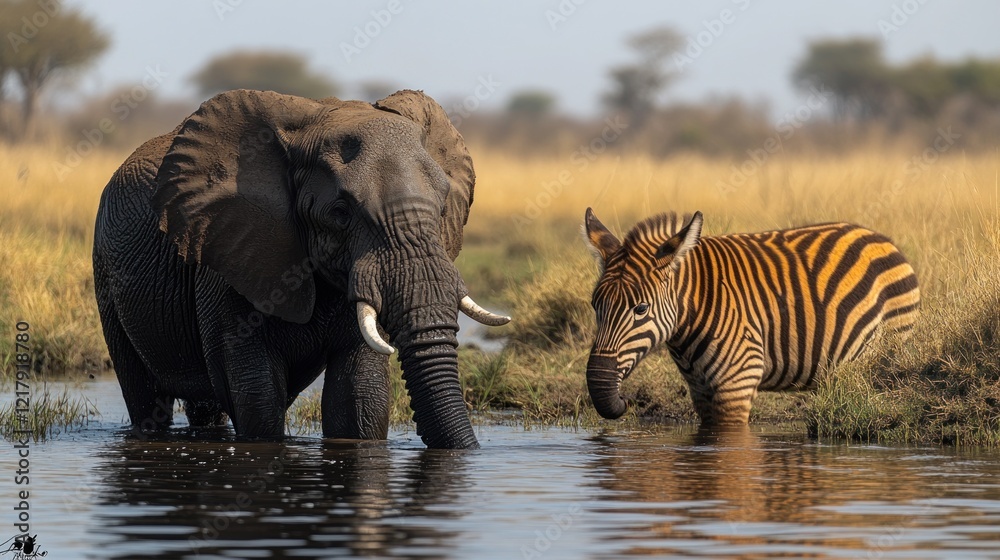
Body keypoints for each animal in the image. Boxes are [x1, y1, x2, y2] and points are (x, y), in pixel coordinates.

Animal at [92, 88, 509, 449]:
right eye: (340, 213)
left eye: (443, 207)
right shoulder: (230, 255)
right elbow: (257, 400)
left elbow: (358, 398)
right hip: (106, 276)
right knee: (147, 401)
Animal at [583, 208, 920, 425]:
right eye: (595, 306)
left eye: (640, 309)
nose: (625, 401)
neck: (696, 304)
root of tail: (881, 239)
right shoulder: (700, 388)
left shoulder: (738, 380)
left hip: (886, 350)